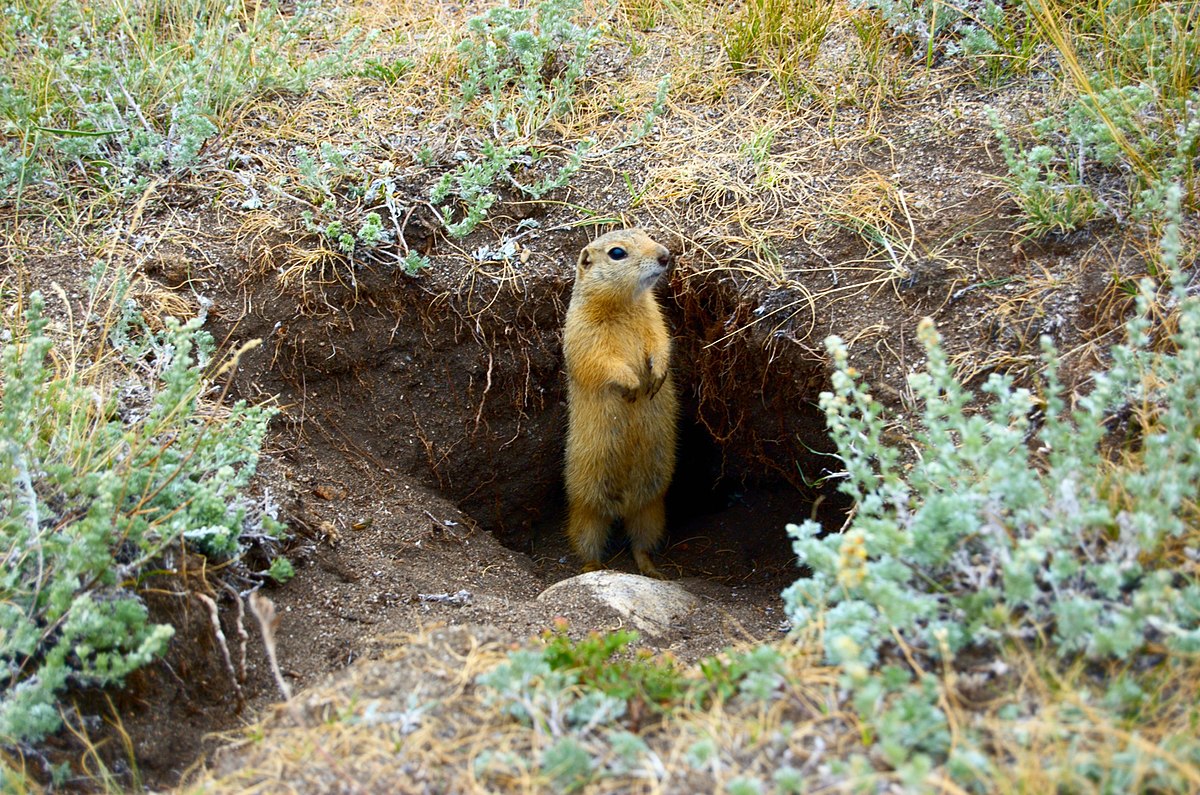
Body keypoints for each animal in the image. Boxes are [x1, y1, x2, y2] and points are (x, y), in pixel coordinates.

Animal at [559, 229, 676, 578]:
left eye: (647, 234)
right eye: (617, 253)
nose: (665, 255)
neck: (625, 304)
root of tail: (622, 506)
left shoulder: (655, 318)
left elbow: (661, 342)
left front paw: (656, 376)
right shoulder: (582, 332)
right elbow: (601, 361)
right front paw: (634, 384)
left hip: (652, 509)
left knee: (641, 544)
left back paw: (652, 570)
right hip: (586, 511)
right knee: (587, 541)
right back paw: (593, 568)